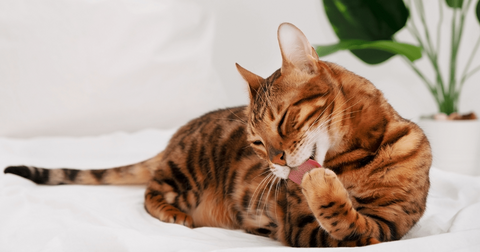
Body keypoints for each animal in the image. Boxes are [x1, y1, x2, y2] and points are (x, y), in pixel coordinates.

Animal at [3, 22, 432, 247]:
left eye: (282, 122)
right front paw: (320, 184)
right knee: (150, 192)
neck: (357, 155)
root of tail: (174, 139)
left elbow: (353, 222)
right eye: (257, 142)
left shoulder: (390, 224)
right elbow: (339, 215)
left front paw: (321, 183)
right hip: (185, 174)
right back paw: (175, 214)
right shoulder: (302, 227)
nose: (277, 162)